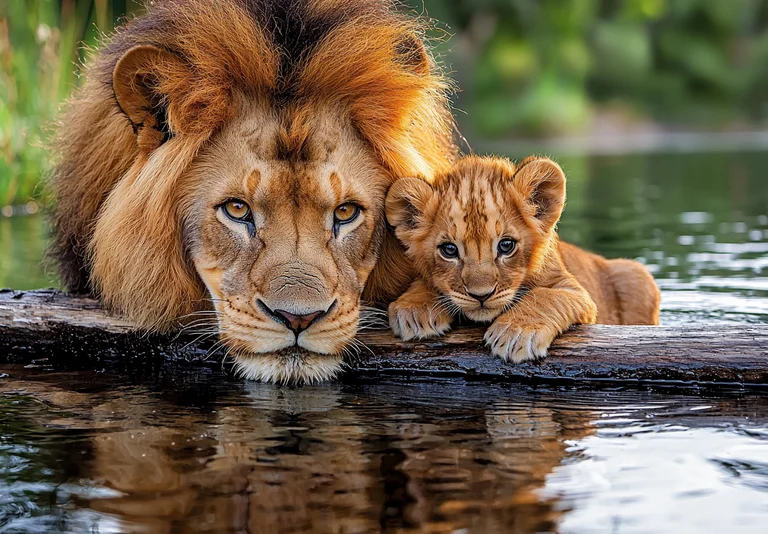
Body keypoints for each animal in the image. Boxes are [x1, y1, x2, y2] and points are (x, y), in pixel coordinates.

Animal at [385, 156, 661, 362]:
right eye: (449, 250)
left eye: (506, 245)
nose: (481, 295)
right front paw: (415, 310)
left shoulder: (580, 296)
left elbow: (545, 296)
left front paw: (515, 333)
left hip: (635, 273)